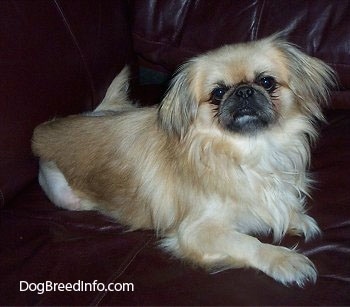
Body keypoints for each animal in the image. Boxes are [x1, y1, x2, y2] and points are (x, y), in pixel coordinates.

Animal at [32, 35, 336, 288]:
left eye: (266, 82)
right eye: (217, 93)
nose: (243, 92)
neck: (248, 152)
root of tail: (42, 134)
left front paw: (296, 218)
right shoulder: (196, 231)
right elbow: (247, 242)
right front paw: (283, 259)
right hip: (67, 198)